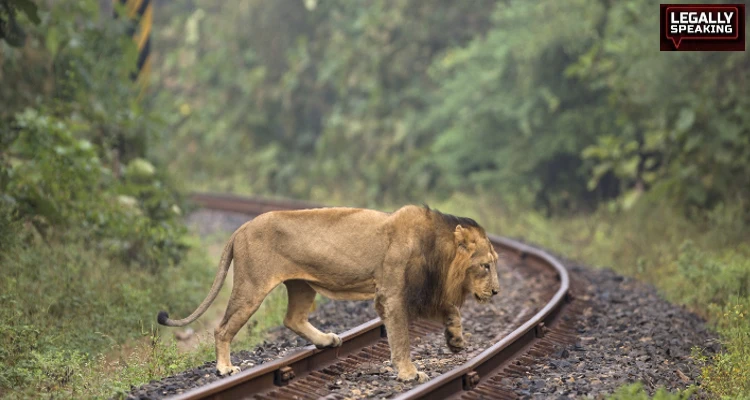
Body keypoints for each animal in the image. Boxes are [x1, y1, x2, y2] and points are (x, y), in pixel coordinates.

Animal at [158, 205, 500, 382]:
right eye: (485, 265)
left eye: (495, 263)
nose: (497, 291)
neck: (438, 254)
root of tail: (239, 229)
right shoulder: (392, 296)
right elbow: (401, 338)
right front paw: (408, 373)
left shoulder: (426, 291)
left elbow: (451, 309)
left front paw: (456, 340)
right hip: (251, 287)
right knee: (222, 328)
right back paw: (225, 368)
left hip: (301, 285)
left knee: (292, 318)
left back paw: (327, 340)